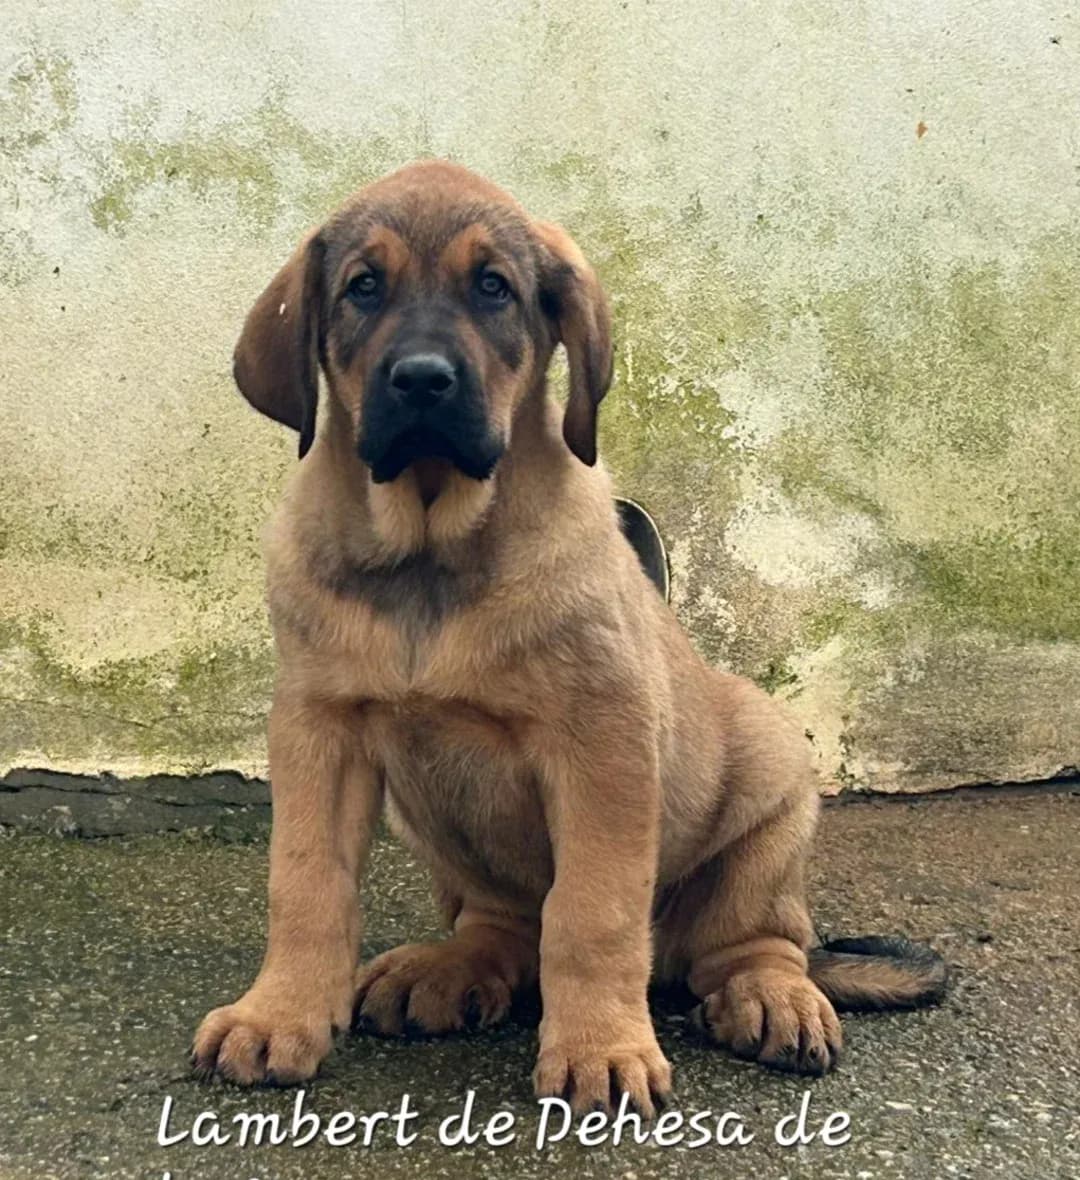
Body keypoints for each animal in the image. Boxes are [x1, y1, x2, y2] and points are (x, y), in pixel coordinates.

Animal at [192, 161, 945, 1114]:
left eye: (494, 289)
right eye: (363, 287)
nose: (423, 381)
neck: (431, 548)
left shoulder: (603, 744)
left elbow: (591, 914)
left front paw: (601, 1049)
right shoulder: (318, 730)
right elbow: (304, 884)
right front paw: (277, 1015)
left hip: (770, 784)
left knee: (751, 941)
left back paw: (772, 996)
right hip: (438, 826)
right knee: (506, 924)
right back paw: (451, 968)